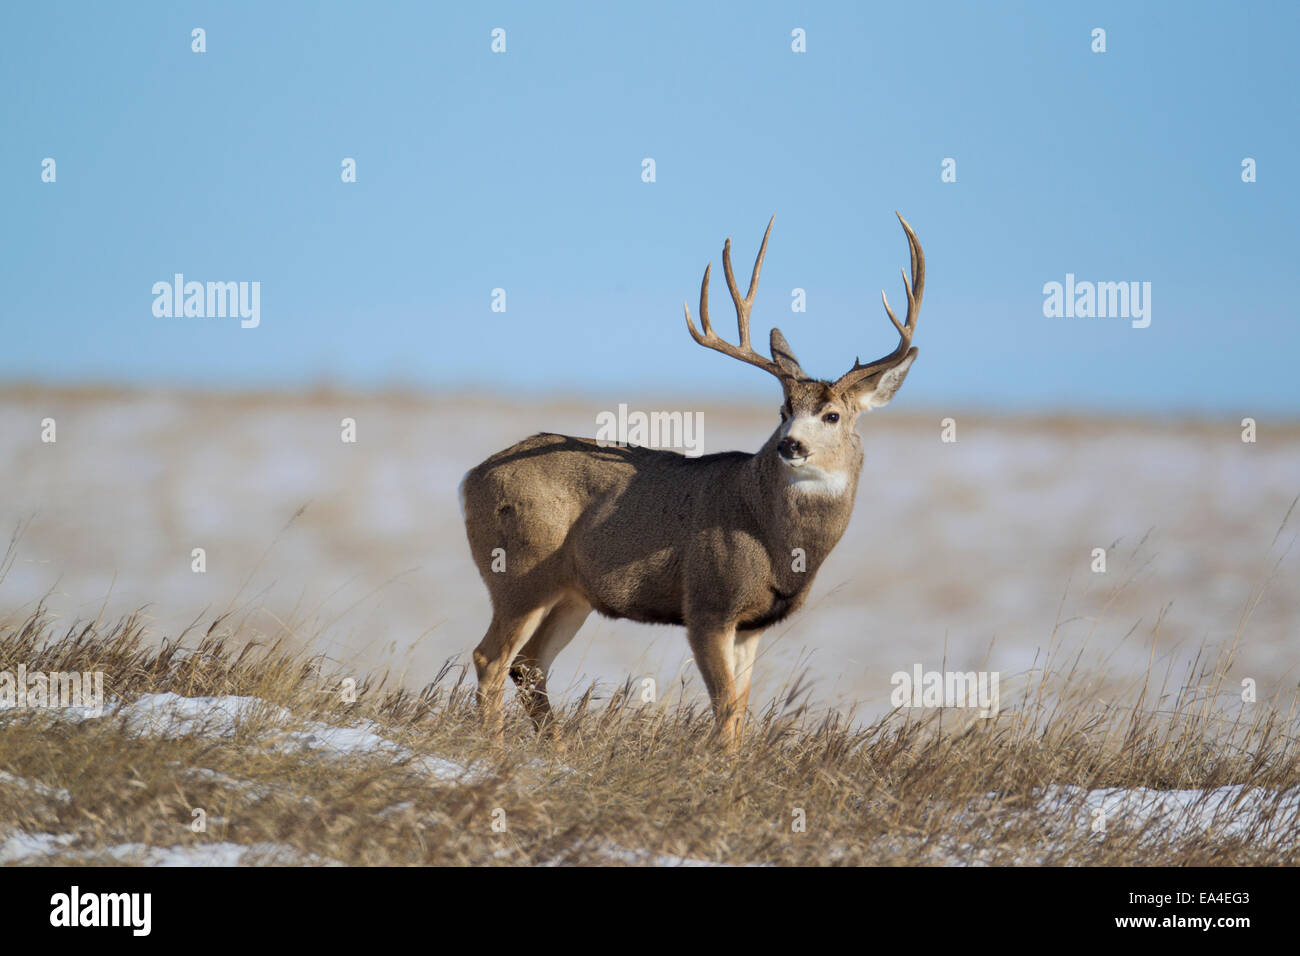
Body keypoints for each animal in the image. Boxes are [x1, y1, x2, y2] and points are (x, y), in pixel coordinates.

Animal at [457, 213, 925, 749]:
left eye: (832, 415)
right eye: (783, 410)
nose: (790, 445)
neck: (772, 537)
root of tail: (470, 478)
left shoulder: (750, 623)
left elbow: (741, 710)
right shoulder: (707, 604)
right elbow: (725, 708)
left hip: (572, 592)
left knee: (528, 665)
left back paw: (555, 749)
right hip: (520, 571)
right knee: (491, 659)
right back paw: (495, 750)